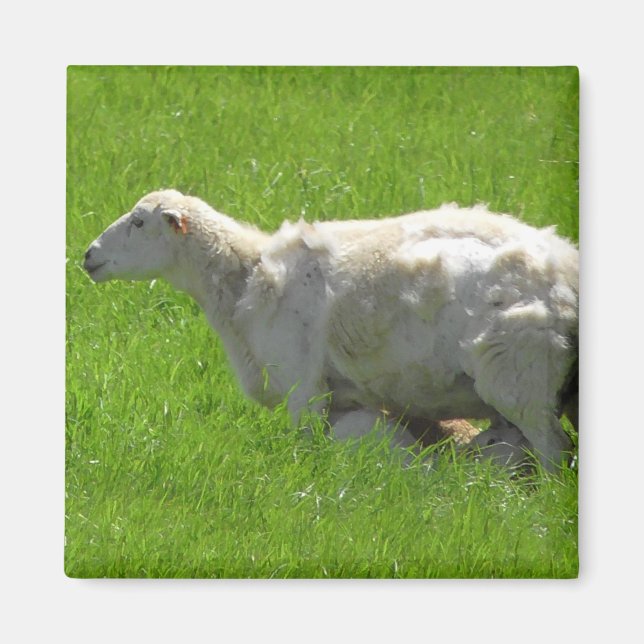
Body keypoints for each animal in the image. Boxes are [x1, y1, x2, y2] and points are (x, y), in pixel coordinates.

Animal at [84, 189, 578, 471]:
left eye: (139, 222)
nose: (88, 255)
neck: (245, 279)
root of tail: (566, 268)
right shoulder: (343, 400)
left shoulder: (303, 387)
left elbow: (307, 452)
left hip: (520, 372)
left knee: (555, 452)